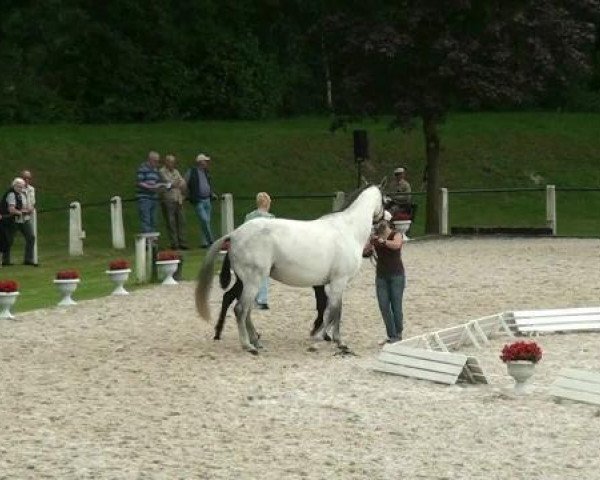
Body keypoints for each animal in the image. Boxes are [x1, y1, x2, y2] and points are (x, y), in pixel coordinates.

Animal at [195, 184, 386, 352]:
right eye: (387, 200)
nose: (388, 219)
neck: (347, 229)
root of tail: (234, 234)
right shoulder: (339, 281)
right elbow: (332, 311)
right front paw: (321, 340)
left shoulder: (335, 283)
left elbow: (335, 311)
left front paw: (337, 341)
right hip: (253, 281)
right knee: (240, 309)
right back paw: (248, 346)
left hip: (248, 281)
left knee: (243, 309)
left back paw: (254, 341)